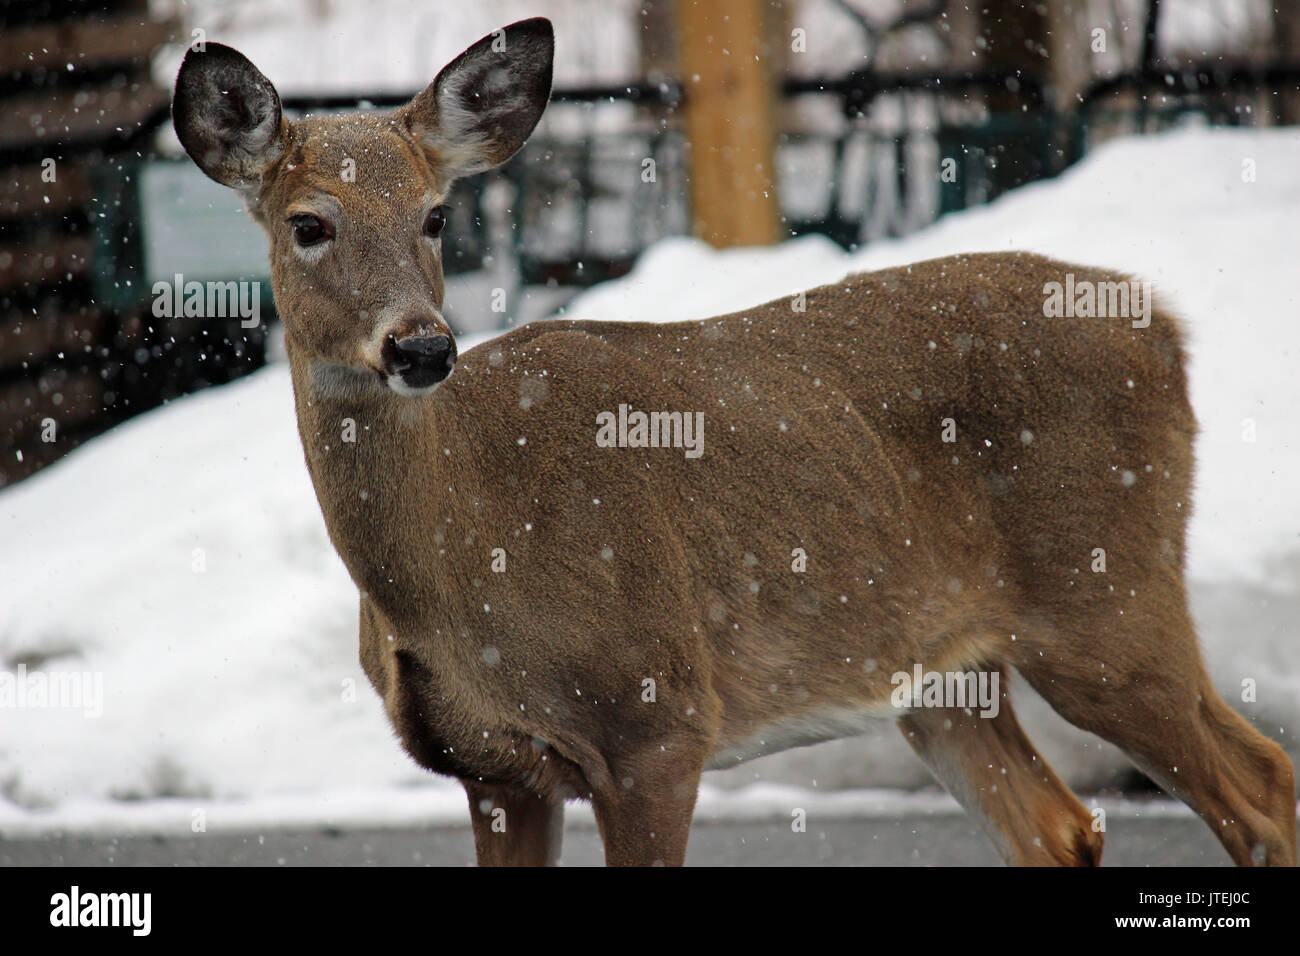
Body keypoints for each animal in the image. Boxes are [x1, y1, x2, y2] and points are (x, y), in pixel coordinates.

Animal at [175, 14, 1300, 868]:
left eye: (437, 216)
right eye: (309, 223)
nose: (420, 346)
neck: (459, 565)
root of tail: (1161, 324)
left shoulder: (658, 721)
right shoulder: (492, 769)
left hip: (1106, 598)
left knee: (1262, 787)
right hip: (945, 675)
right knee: (1062, 828)